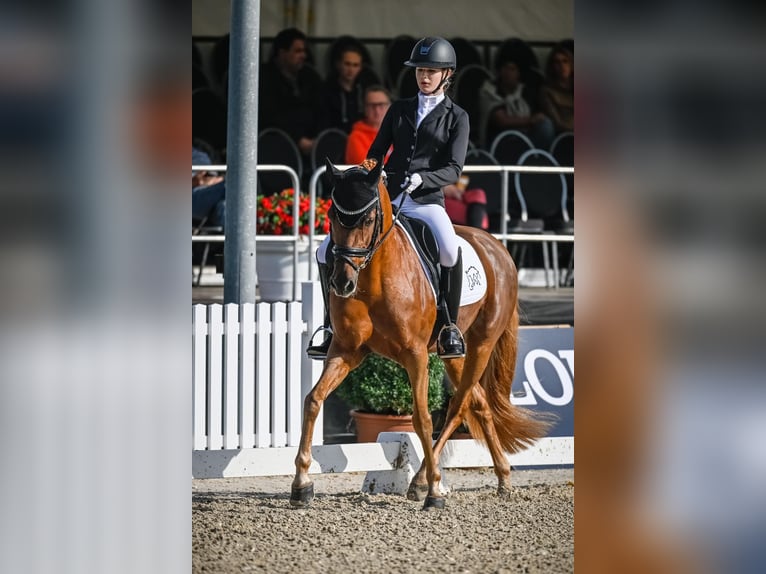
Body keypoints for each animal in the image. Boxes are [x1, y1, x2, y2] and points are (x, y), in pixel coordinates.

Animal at [292, 160, 548, 510]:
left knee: (456, 407)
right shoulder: (346, 350)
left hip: (481, 343)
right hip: (453, 353)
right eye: (331, 216)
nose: (342, 283)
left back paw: (426, 482)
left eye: (368, 219)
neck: (373, 278)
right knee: (478, 402)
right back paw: (501, 478)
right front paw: (301, 484)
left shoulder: (416, 355)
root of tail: (496, 245)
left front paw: (436, 491)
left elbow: (423, 418)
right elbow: (313, 400)